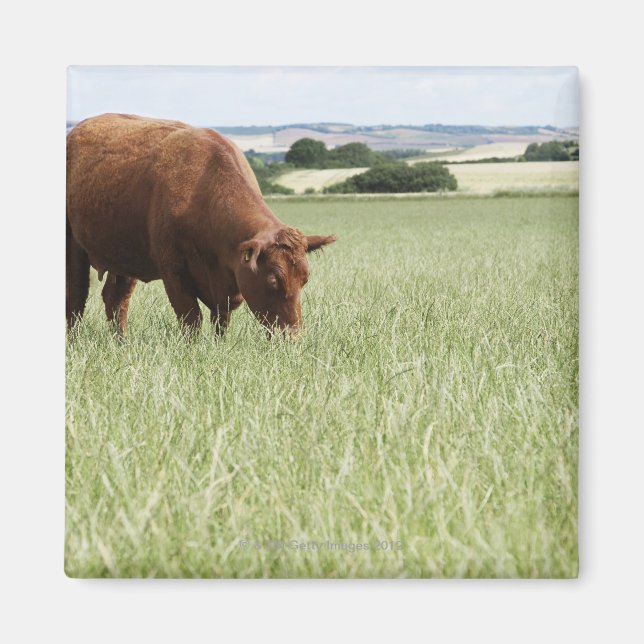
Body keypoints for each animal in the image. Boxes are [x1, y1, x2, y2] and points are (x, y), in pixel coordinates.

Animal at [66, 114, 336, 336]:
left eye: (305, 279)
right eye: (273, 280)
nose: (292, 336)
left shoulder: (226, 285)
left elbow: (221, 320)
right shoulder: (174, 272)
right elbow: (191, 318)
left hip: (124, 254)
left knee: (116, 298)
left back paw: (121, 341)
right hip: (73, 246)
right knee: (75, 297)